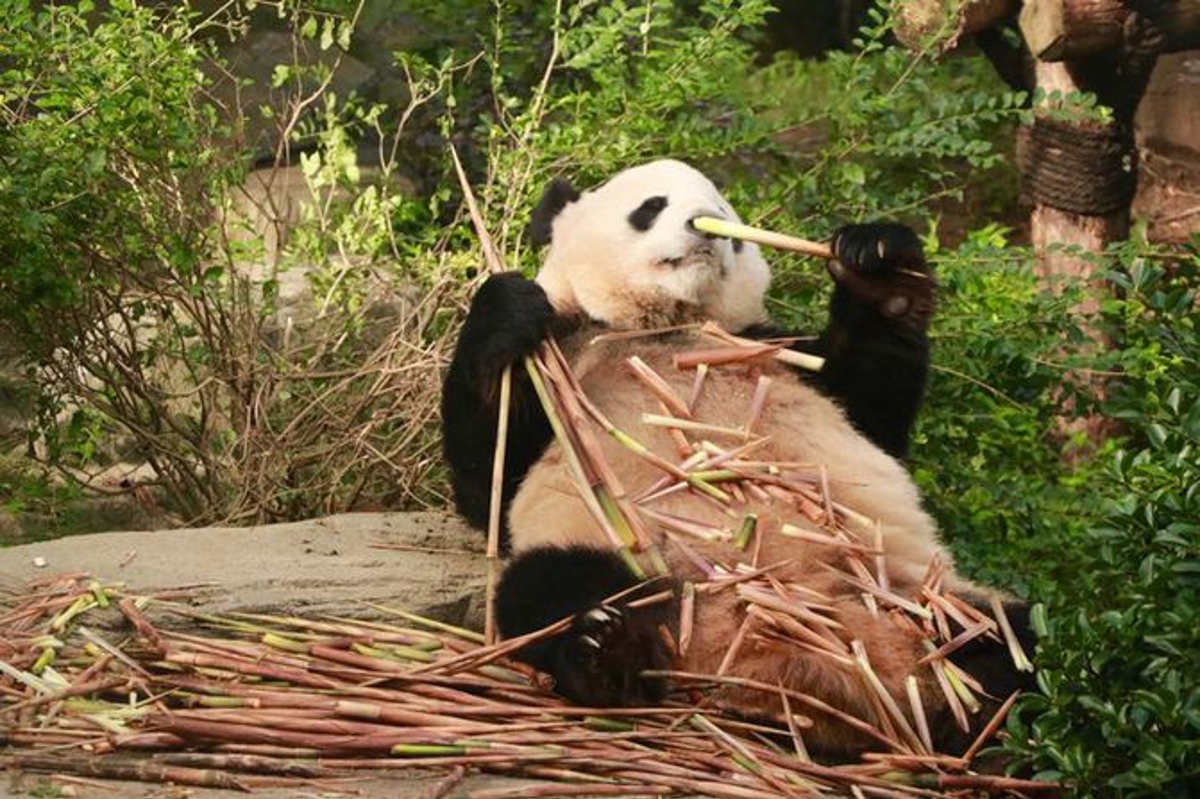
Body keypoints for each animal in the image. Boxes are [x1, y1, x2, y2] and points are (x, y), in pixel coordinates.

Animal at [441, 159, 1033, 755]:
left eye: (725, 214)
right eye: (651, 206)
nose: (705, 227)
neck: (667, 326)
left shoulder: (771, 348)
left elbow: (871, 408)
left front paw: (878, 266)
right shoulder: (564, 357)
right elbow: (491, 484)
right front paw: (506, 308)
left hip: (917, 595)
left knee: (1008, 639)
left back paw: (985, 727)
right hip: (636, 561)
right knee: (549, 586)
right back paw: (606, 651)